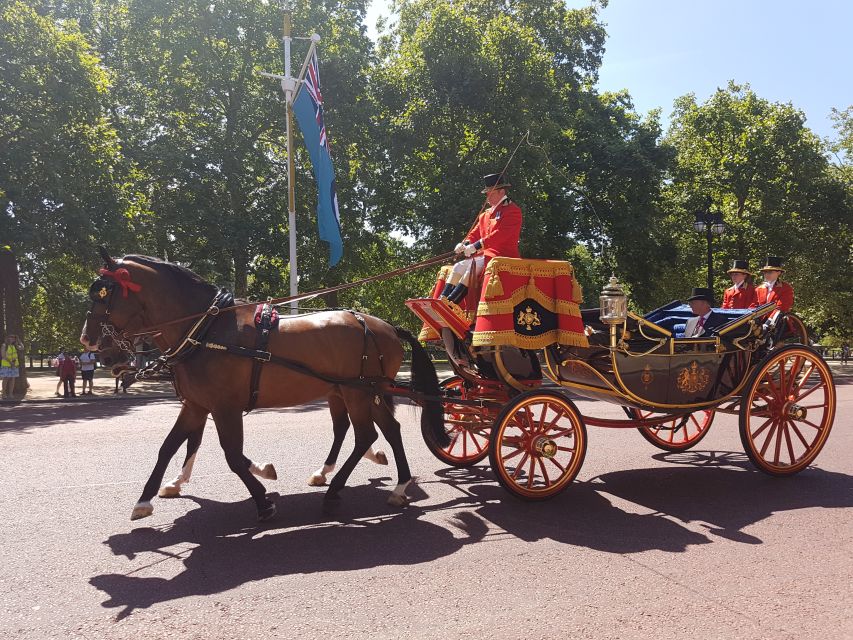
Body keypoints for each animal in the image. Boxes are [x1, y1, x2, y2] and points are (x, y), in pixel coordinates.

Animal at [80, 251, 450, 520]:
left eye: (104, 295)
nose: (91, 344)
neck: (207, 331)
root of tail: (382, 324)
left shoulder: (226, 408)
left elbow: (231, 456)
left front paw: (263, 496)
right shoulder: (197, 404)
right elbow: (170, 447)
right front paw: (148, 498)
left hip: (357, 392)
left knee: (366, 436)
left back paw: (335, 491)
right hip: (361, 392)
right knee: (387, 429)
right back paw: (398, 486)